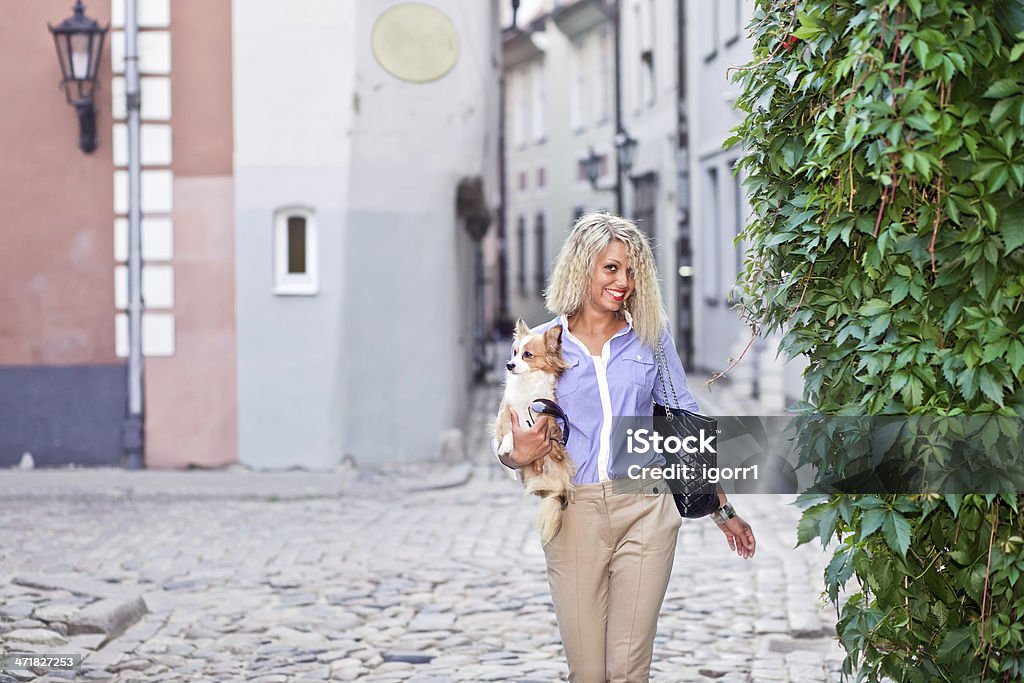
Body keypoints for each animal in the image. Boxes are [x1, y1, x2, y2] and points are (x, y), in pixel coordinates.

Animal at [495, 319, 577, 544]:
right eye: (514, 352)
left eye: (527, 354)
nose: (509, 365)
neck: (527, 384)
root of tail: (557, 485)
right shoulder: (508, 411)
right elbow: (508, 429)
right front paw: (506, 445)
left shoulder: (546, 416)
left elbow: (549, 427)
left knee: (557, 452)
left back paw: (555, 454)